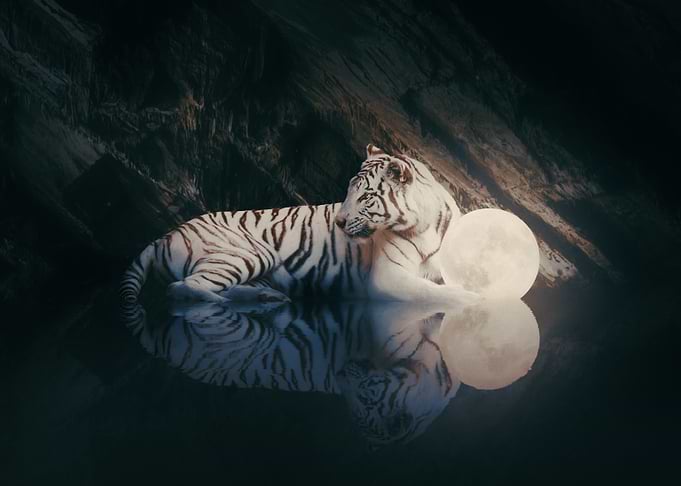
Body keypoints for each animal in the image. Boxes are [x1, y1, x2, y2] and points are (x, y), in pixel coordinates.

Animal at [119, 144, 480, 304]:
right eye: (348, 191)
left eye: (365, 197)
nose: (339, 221)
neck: (428, 224)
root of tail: (168, 233)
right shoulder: (387, 277)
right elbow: (436, 294)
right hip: (248, 253)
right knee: (183, 288)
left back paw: (266, 298)